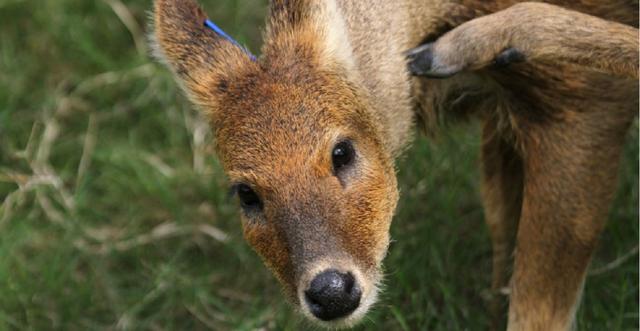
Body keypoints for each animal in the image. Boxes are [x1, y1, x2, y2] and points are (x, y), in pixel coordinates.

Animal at [152, 0, 636, 330]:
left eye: (342, 151)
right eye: (246, 194)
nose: (331, 292)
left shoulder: (584, 101)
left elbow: (536, 310)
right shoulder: (503, 119)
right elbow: (502, 229)